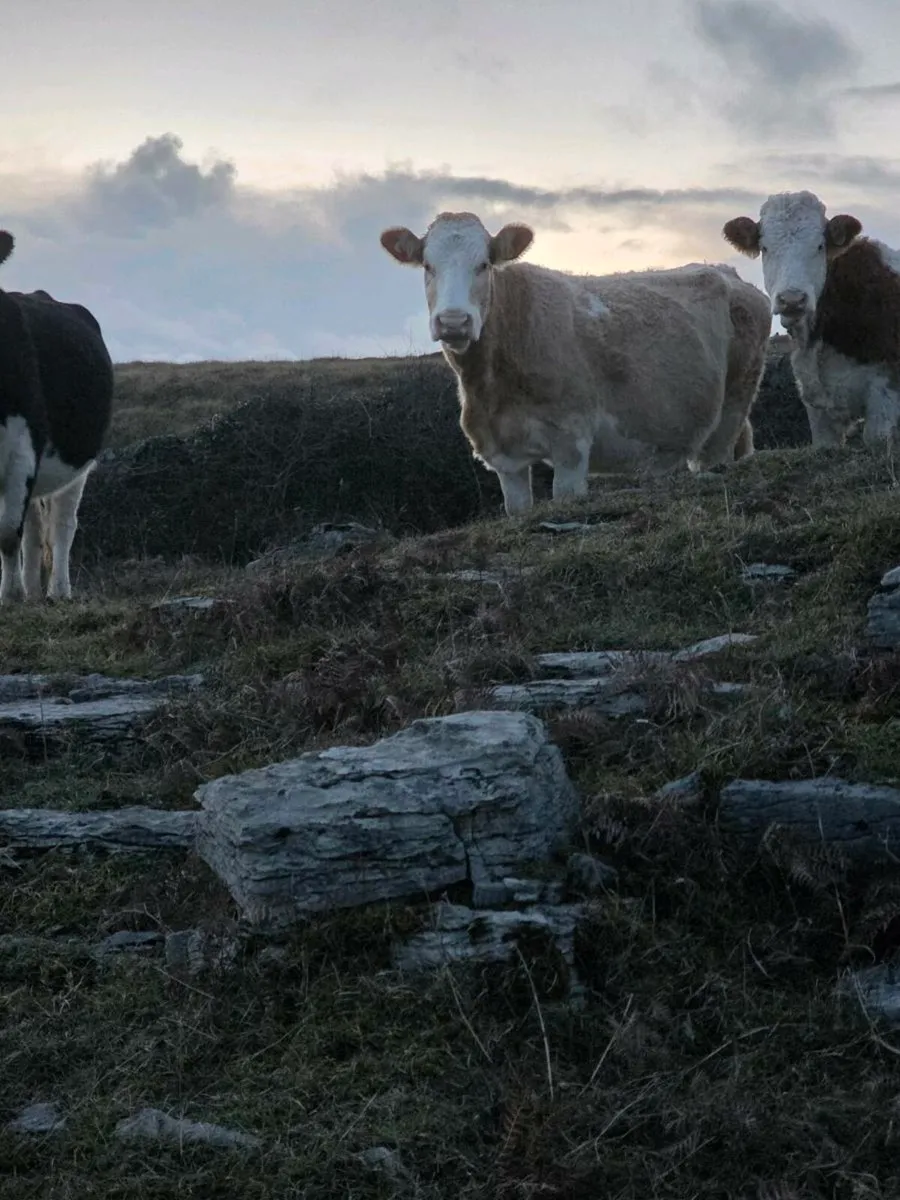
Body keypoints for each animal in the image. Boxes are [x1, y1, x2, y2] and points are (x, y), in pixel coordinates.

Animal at [0, 231, 114, 604]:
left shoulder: (23, 448)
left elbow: (7, 533)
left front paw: (10, 596)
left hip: (77, 465)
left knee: (62, 527)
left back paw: (57, 591)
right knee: (35, 531)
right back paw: (33, 590)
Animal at [379, 212, 771, 516]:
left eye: (484, 264)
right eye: (428, 265)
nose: (453, 322)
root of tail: (726, 272)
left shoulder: (571, 440)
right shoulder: (504, 455)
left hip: (732, 407)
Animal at [723, 190, 900, 449]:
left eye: (819, 246)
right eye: (765, 247)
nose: (792, 299)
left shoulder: (885, 391)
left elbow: (878, 439)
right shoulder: (818, 408)